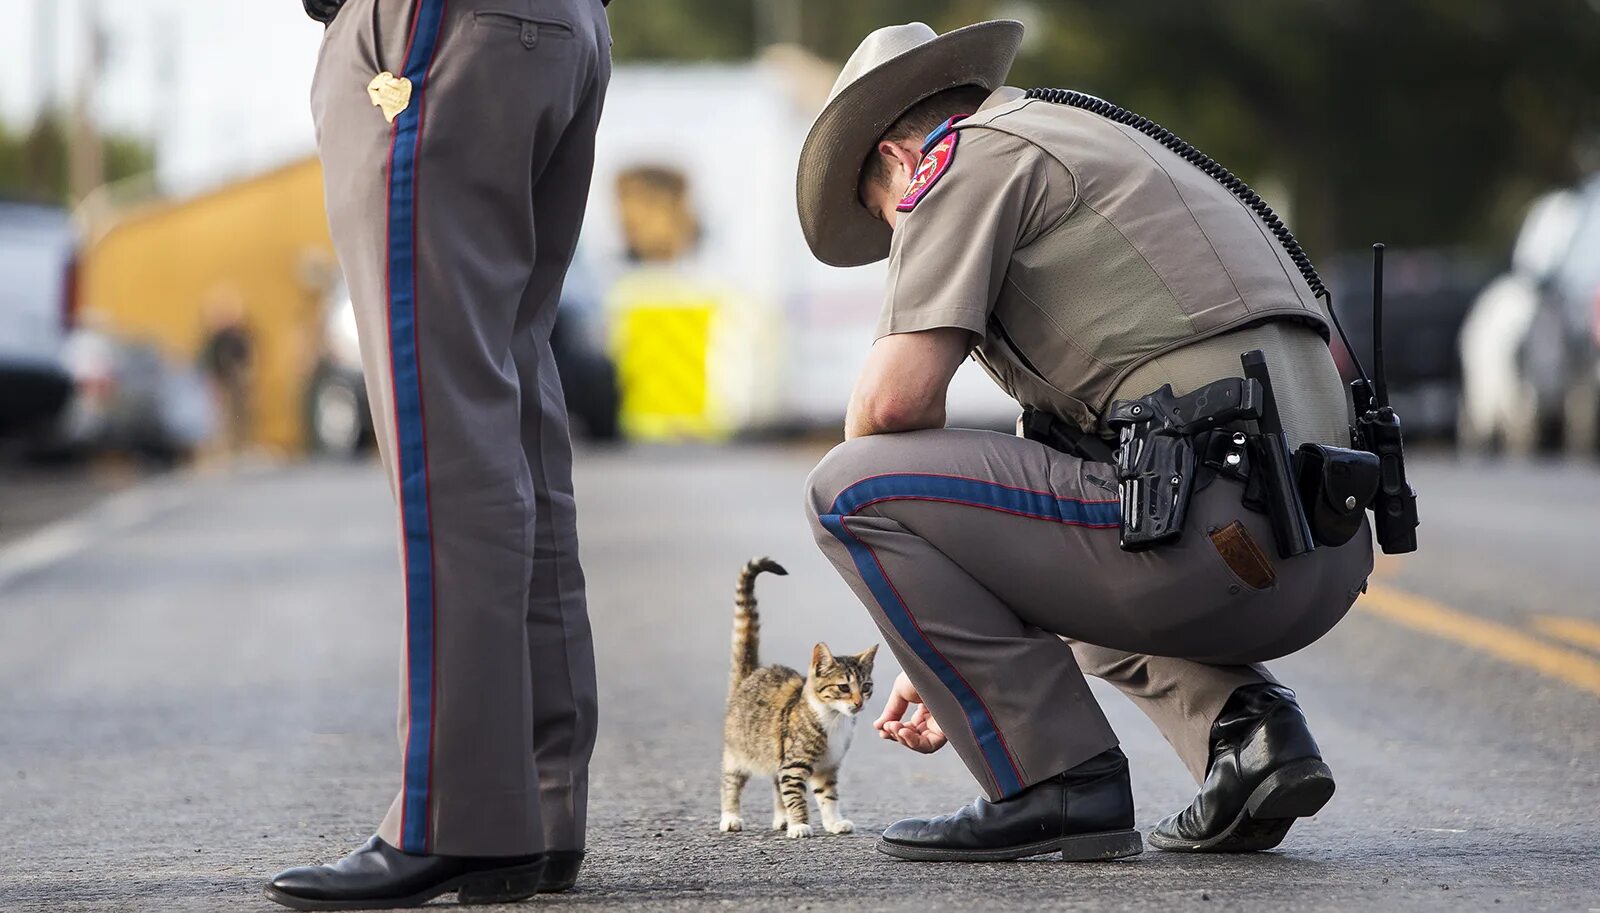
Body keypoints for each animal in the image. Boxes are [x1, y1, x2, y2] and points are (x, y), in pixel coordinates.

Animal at [723, 553, 883, 837]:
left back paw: (781, 818)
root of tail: (750, 675)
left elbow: (828, 796)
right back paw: (731, 816)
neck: (833, 719)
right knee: (732, 782)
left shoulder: (827, 767)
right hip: (739, 749)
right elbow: (796, 796)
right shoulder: (794, 764)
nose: (858, 703)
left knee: (776, 784)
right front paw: (799, 824)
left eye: (866, 687)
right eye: (844, 687)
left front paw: (833, 822)